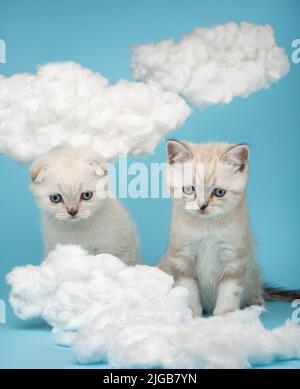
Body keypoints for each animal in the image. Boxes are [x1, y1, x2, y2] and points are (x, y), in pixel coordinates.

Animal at [158, 139, 264, 316]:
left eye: (219, 192)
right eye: (189, 189)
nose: (202, 206)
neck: (207, 227)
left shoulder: (234, 256)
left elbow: (230, 289)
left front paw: (226, 314)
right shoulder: (181, 256)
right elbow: (187, 287)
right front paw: (190, 311)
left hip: (254, 270)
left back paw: (256, 304)